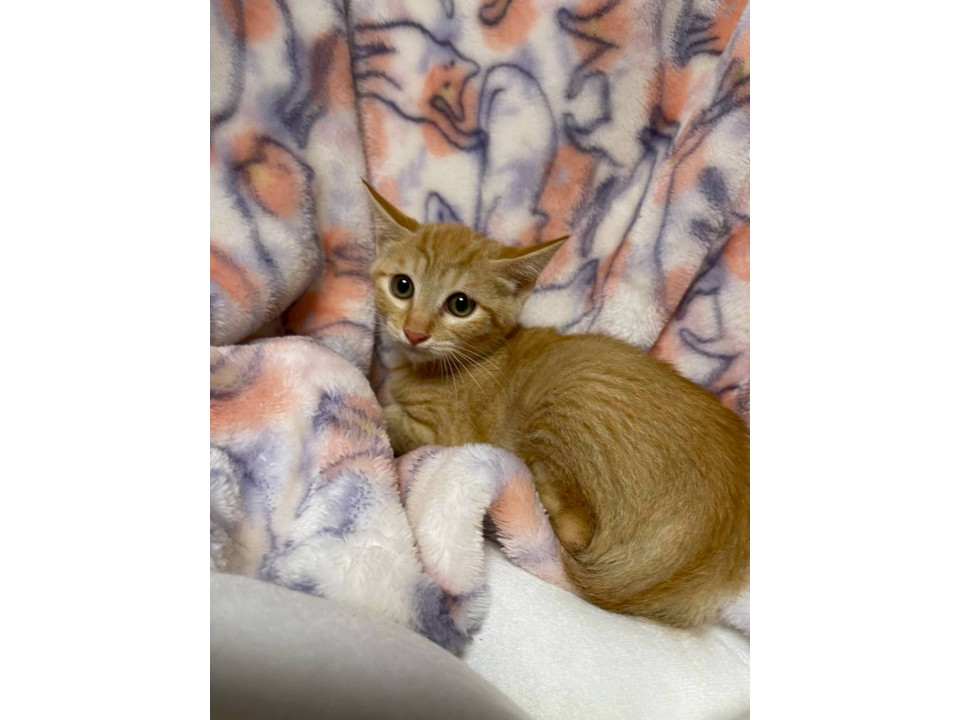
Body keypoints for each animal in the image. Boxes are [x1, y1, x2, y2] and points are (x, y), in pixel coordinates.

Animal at [364, 181, 749, 629]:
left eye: (461, 305)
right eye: (402, 286)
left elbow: (387, 412)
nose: (414, 332)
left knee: (574, 528)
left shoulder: (445, 430)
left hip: (567, 397)